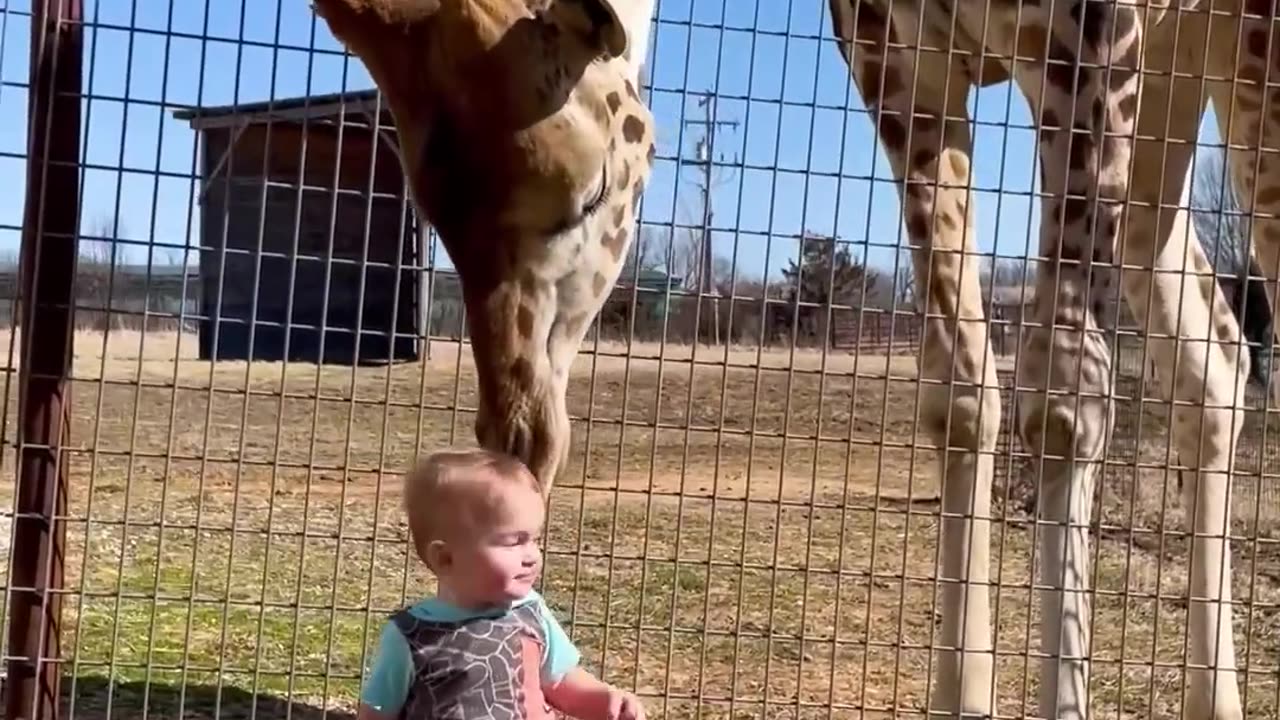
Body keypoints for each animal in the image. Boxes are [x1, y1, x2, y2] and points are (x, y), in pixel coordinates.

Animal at [824, 1, 1280, 717]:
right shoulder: (893, 57)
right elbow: (959, 393)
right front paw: (961, 695)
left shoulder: (1090, 34)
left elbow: (1066, 399)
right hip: (1168, 90)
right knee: (1217, 358)